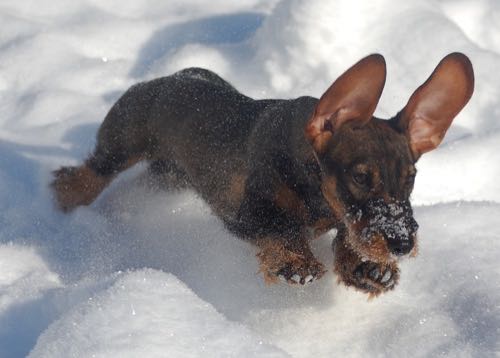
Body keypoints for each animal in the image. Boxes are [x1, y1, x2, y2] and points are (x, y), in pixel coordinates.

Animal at [52, 51, 474, 296]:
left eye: (410, 178)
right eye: (359, 176)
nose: (402, 244)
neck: (316, 194)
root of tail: (176, 75)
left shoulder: (339, 216)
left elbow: (347, 232)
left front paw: (369, 266)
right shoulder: (245, 213)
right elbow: (280, 227)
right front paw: (295, 263)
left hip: (168, 175)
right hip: (123, 139)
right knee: (89, 174)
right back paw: (64, 200)